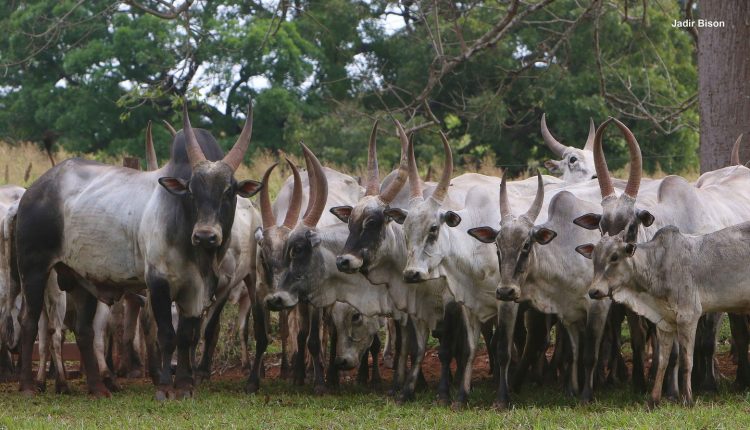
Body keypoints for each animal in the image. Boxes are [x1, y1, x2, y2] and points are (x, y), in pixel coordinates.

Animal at [13, 104, 262, 400]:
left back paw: (98, 388)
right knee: (29, 322)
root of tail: (34, 190)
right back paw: (28, 386)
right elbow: (166, 335)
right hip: (33, 269)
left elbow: (187, 337)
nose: (205, 235)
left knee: (84, 331)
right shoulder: (158, 282)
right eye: (191, 191)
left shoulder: (197, 290)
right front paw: (164, 387)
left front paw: (185, 386)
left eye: (228, 191)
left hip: (80, 278)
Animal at [580, 223, 750, 408]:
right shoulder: (664, 323)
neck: (657, 266)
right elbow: (662, 361)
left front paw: (687, 399)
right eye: (594, 258)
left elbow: (686, 361)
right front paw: (653, 400)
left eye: (614, 256)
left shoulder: (688, 317)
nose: (594, 291)